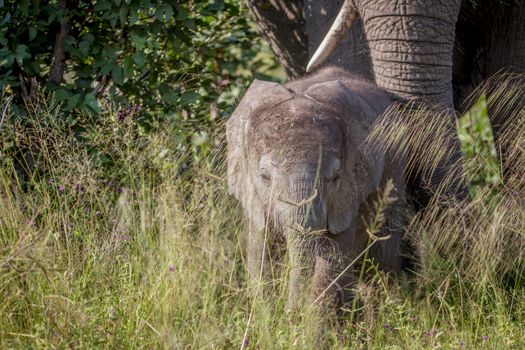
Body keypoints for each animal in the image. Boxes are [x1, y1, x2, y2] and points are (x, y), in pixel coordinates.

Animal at [227, 67, 408, 308]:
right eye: (265, 177)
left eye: (335, 178)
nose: (291, 312)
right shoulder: (253, 197)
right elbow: (260, 257)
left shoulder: (347, 196)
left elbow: (331, 263)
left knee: (383, 261)